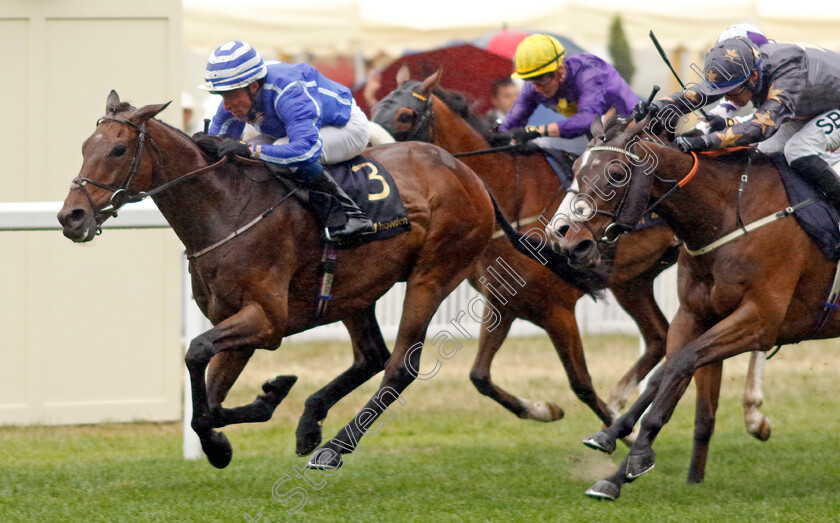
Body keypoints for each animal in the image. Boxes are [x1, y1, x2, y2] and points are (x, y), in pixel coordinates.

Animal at [57, 91, 498, 470]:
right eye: (84, 147)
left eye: (118, 149)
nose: (71, 217)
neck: (226, 207)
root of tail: (465, 170)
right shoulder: (237, 320)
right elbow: (211, 400)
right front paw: (259, 406)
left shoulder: (266, 319)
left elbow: (196, 354)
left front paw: (225, 439)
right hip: (355, 292)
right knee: (371, 355)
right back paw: (309, 424)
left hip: (432, 275)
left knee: (399, 367)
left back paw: (334, 447)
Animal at [552, 112, 840, 502]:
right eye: (577, 169)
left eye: (616, 173)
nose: (568, 241)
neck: (729, 215)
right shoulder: (694, 316)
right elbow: (666, 374)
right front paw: (614, 454)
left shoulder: (759, 321)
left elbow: (681, 364)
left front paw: (637, 456)